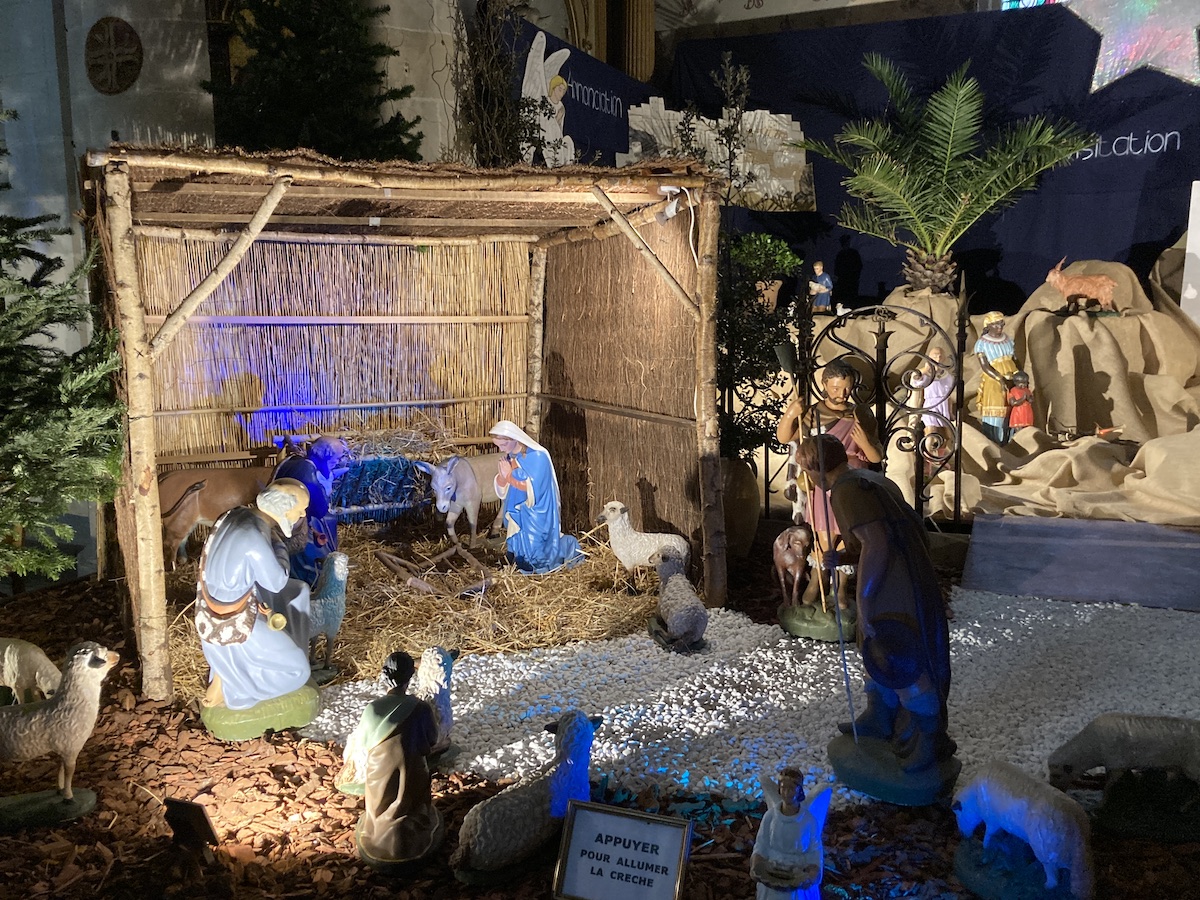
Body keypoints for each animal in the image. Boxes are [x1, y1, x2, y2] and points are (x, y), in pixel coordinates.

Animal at [0, 643, 117, 801]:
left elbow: (60, 770)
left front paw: (59, 790)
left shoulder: (63, 747)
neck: (69, 704)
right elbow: (69, 773)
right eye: (104, 655)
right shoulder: (71, 748)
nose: (118, 655)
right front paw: (69, 796)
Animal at [950, 763, 1094, 897]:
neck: (974, 795)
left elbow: (988, 836)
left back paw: (1045, 886)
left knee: (1054, 877)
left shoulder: (992, 821)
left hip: (1044, 852)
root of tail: (1079, 835)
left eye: (957, 814)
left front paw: (985, 849)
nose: (962, 835)